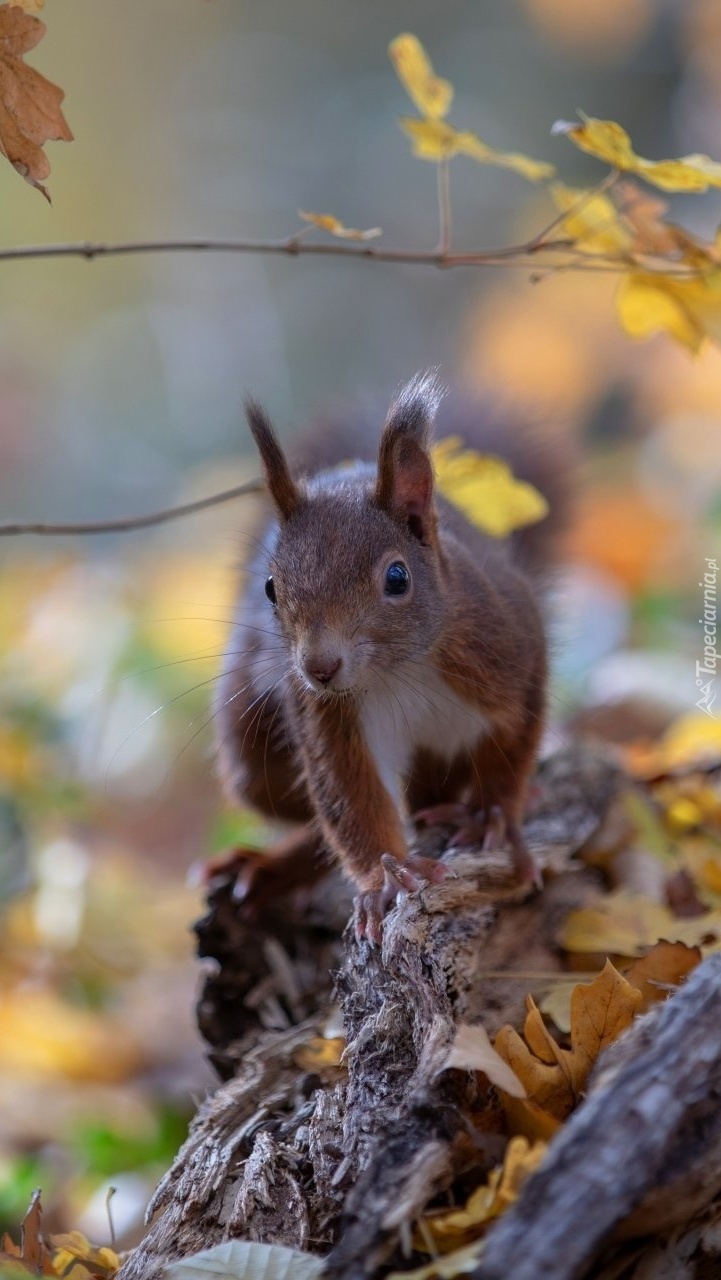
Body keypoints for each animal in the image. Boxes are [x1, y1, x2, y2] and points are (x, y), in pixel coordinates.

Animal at [213, 371, 571, 942]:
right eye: (270, 587)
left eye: (398, 578)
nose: (320, 667)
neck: (399, 670)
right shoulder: (326, 715)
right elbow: (350, 796)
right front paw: (386, 877)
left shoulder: (510, 649)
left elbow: (516, 738)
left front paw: (493, 815)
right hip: (248, 740)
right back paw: (272, 871)